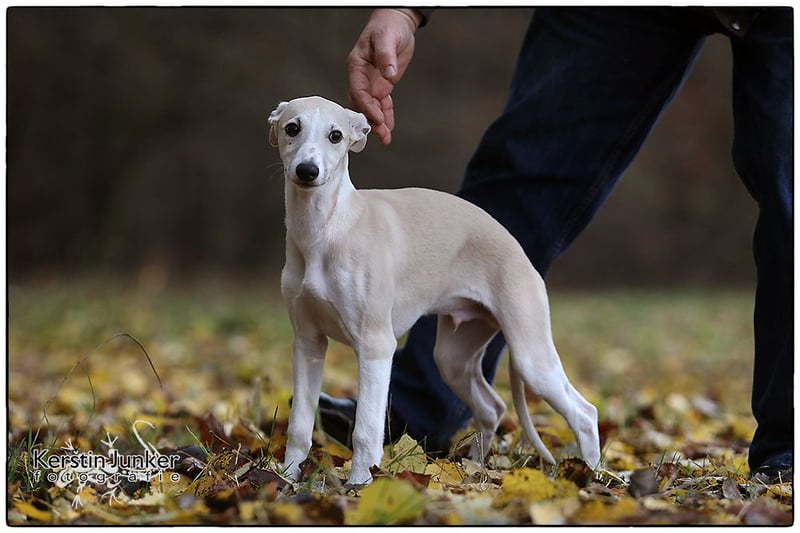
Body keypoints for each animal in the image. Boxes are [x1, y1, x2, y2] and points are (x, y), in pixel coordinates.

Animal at [269, 96, 601, 487]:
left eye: (335, 135)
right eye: (292, 127)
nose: (307, 171)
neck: (328, 228)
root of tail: (518, 249)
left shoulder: (376, 346)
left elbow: (366, 429)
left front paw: (359, 485)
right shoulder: (308, 343)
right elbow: (299, 425)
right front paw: (287, 478)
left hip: (532, 358)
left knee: (584, 412)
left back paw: (593, 477)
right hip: (453, 356)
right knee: (492, 407)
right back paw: (475, 470)